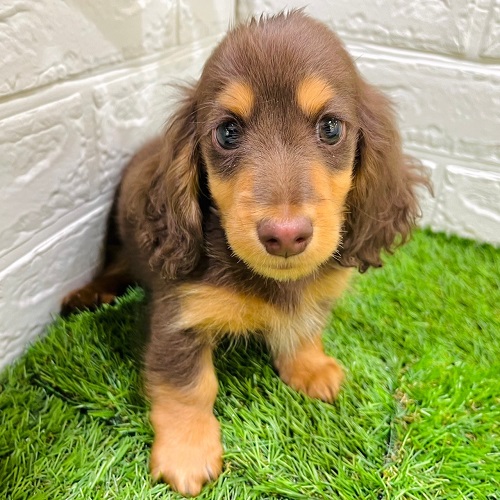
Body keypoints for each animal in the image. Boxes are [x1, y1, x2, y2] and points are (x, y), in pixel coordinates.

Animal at [63, 10, 429, 496]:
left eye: (331, 127)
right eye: (228, 132)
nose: (286, 236)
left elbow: (305, 328)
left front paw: (310, 367)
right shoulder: (179, 316)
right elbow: (189, 386)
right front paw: (187, 451)